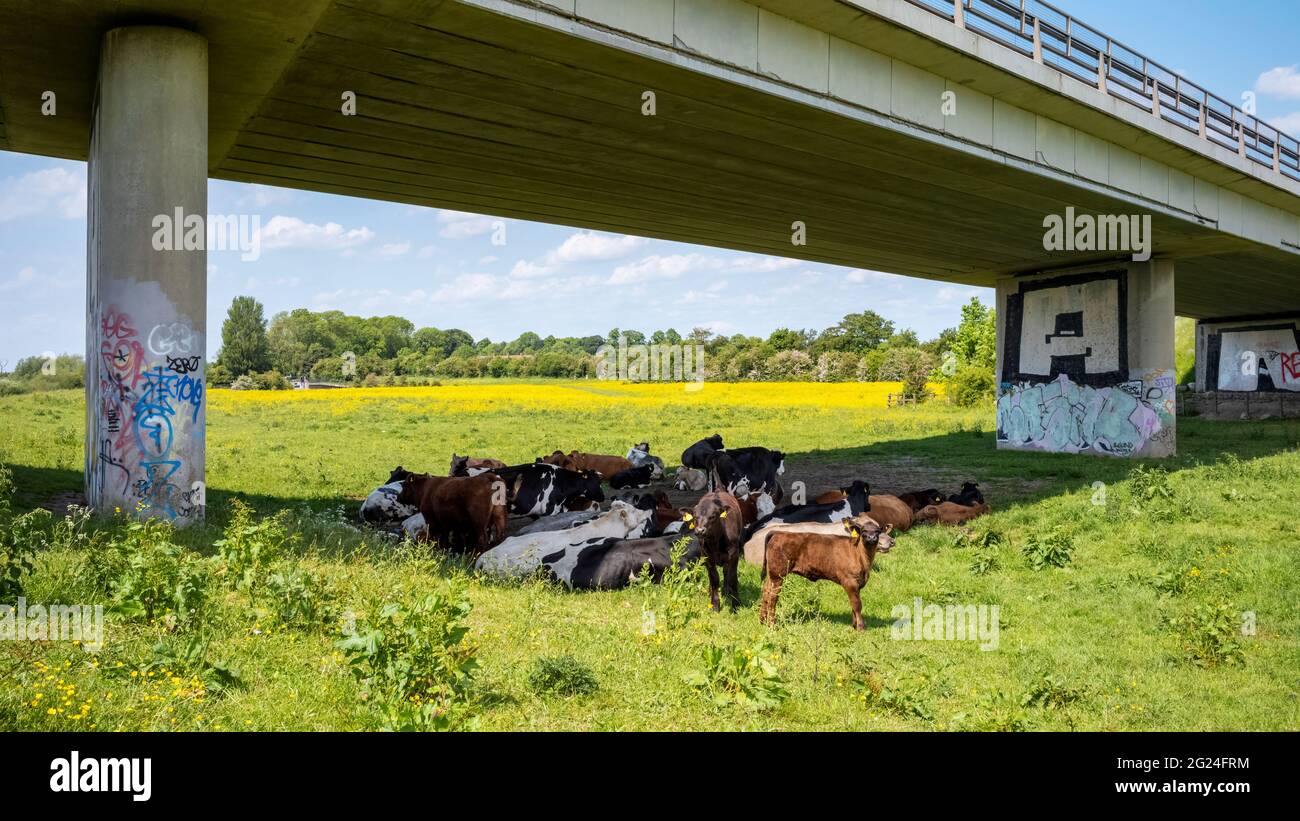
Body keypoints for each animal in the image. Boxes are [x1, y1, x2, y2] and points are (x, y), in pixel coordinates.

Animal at [759, 509, 894, 631]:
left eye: (877, 531)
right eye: (864, 531)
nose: (871, 538)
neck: (861, 557)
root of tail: (778, 532)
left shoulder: (857, 583)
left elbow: (853, 605)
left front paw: (854, 625)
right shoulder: (849, 581)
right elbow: (857, 604)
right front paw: (861, 627)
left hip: (772, 574)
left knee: (766, 590)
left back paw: (762, 620)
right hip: (778, 574)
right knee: (773, 596)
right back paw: (771, 624)